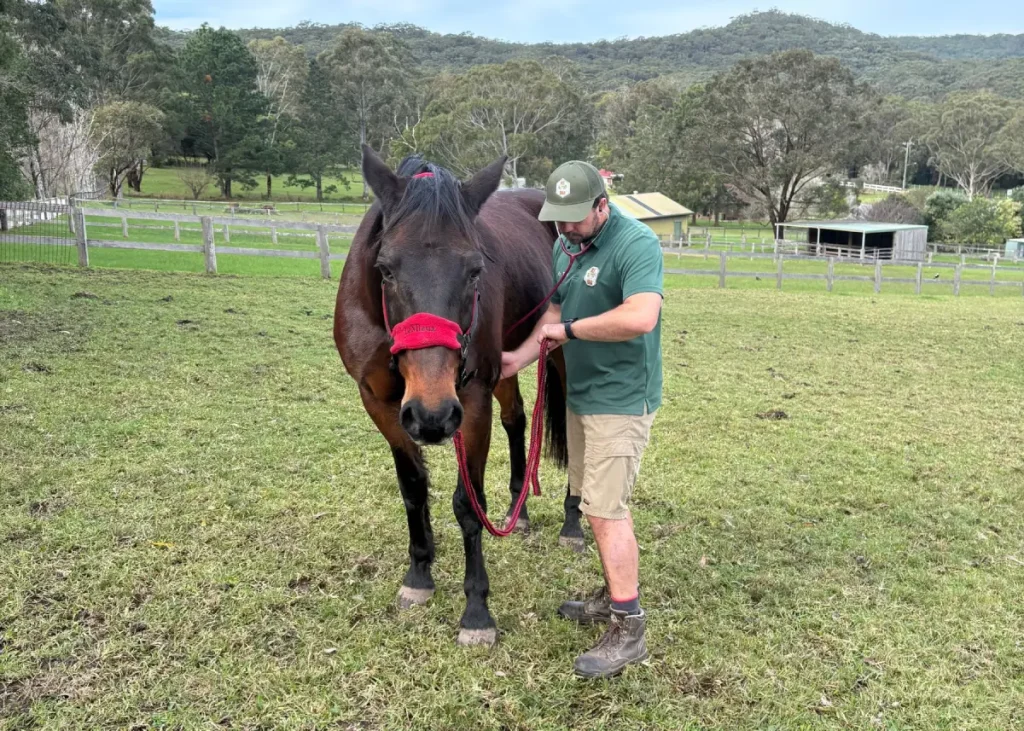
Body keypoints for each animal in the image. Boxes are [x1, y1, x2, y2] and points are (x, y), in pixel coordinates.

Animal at [332, 145, 584, 646]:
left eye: (475, 270)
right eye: (385, 268)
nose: (432, 415)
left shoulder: (470, 404)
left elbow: (469, 505)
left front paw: (476, 611)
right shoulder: (380, 405)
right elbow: (413, 487)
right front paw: (419, 574)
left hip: (558, 352)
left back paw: (571, 522)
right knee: (516, 419)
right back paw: (519, 513)